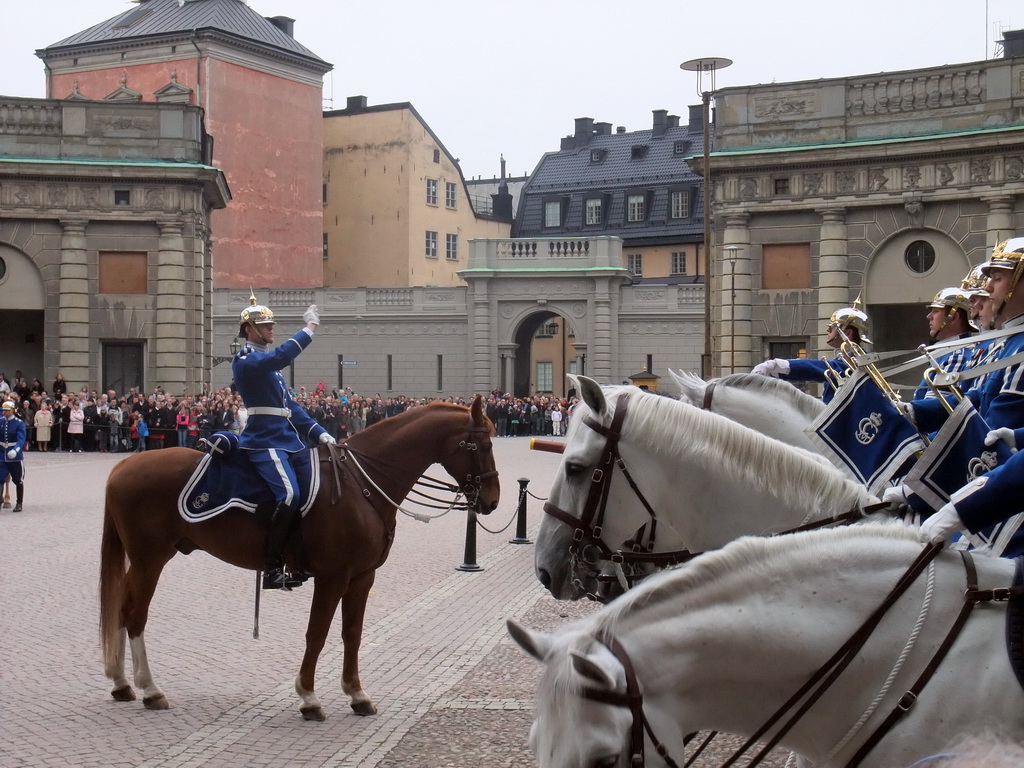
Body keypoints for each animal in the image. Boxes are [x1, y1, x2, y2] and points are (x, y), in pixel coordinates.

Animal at [97, 397, 497, 720]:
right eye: (482, 443)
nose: (492, 500)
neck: (362, 485)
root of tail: (120, 468)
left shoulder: (362, 576)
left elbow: (352, 633)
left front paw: (356, 693)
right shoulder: (333, 576)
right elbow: (317, 633)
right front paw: (308, 697)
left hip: (142, 561)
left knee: (120, 611)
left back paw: (121, 683)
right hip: (149, 559)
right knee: (134, 615)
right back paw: (150, 689)